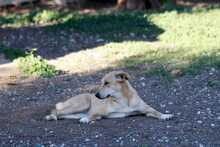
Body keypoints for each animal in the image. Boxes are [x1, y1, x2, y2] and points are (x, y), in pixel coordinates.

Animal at [45, 70, 174, 123]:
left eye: (106, 83)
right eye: (101, 83)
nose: (96, 95)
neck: (123, 100)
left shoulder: (146, 110)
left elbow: (156, 111)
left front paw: (165, 115)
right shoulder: (97, 109)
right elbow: (92, 114)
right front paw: (87, 119)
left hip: (75, 113)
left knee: (62, 115)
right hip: (82, 104)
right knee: (55, 110)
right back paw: (51, 116)